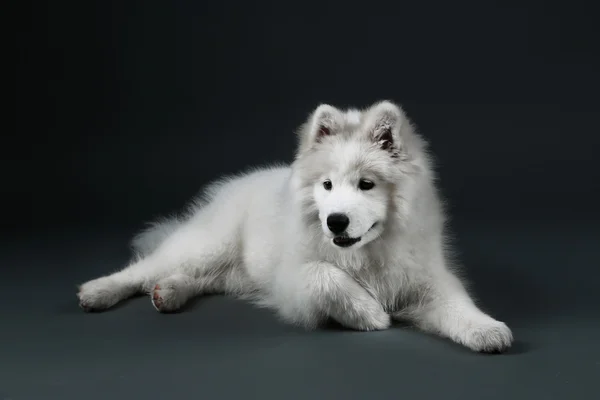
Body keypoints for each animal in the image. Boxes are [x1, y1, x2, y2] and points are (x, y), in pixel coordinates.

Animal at [77, 101, 512, 354]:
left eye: (366, 184)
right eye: (327, 185)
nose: (335, 220)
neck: (365, 254)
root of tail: (232, 185)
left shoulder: (425, 279)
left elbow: (457, 304)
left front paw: (488, 330)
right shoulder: (292, 278)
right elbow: (326, 276)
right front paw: (369, 314)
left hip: (230, 271)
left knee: (198, 278)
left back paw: (168, 292)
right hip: (208, 244)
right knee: (145, 268)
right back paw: (98, 291)